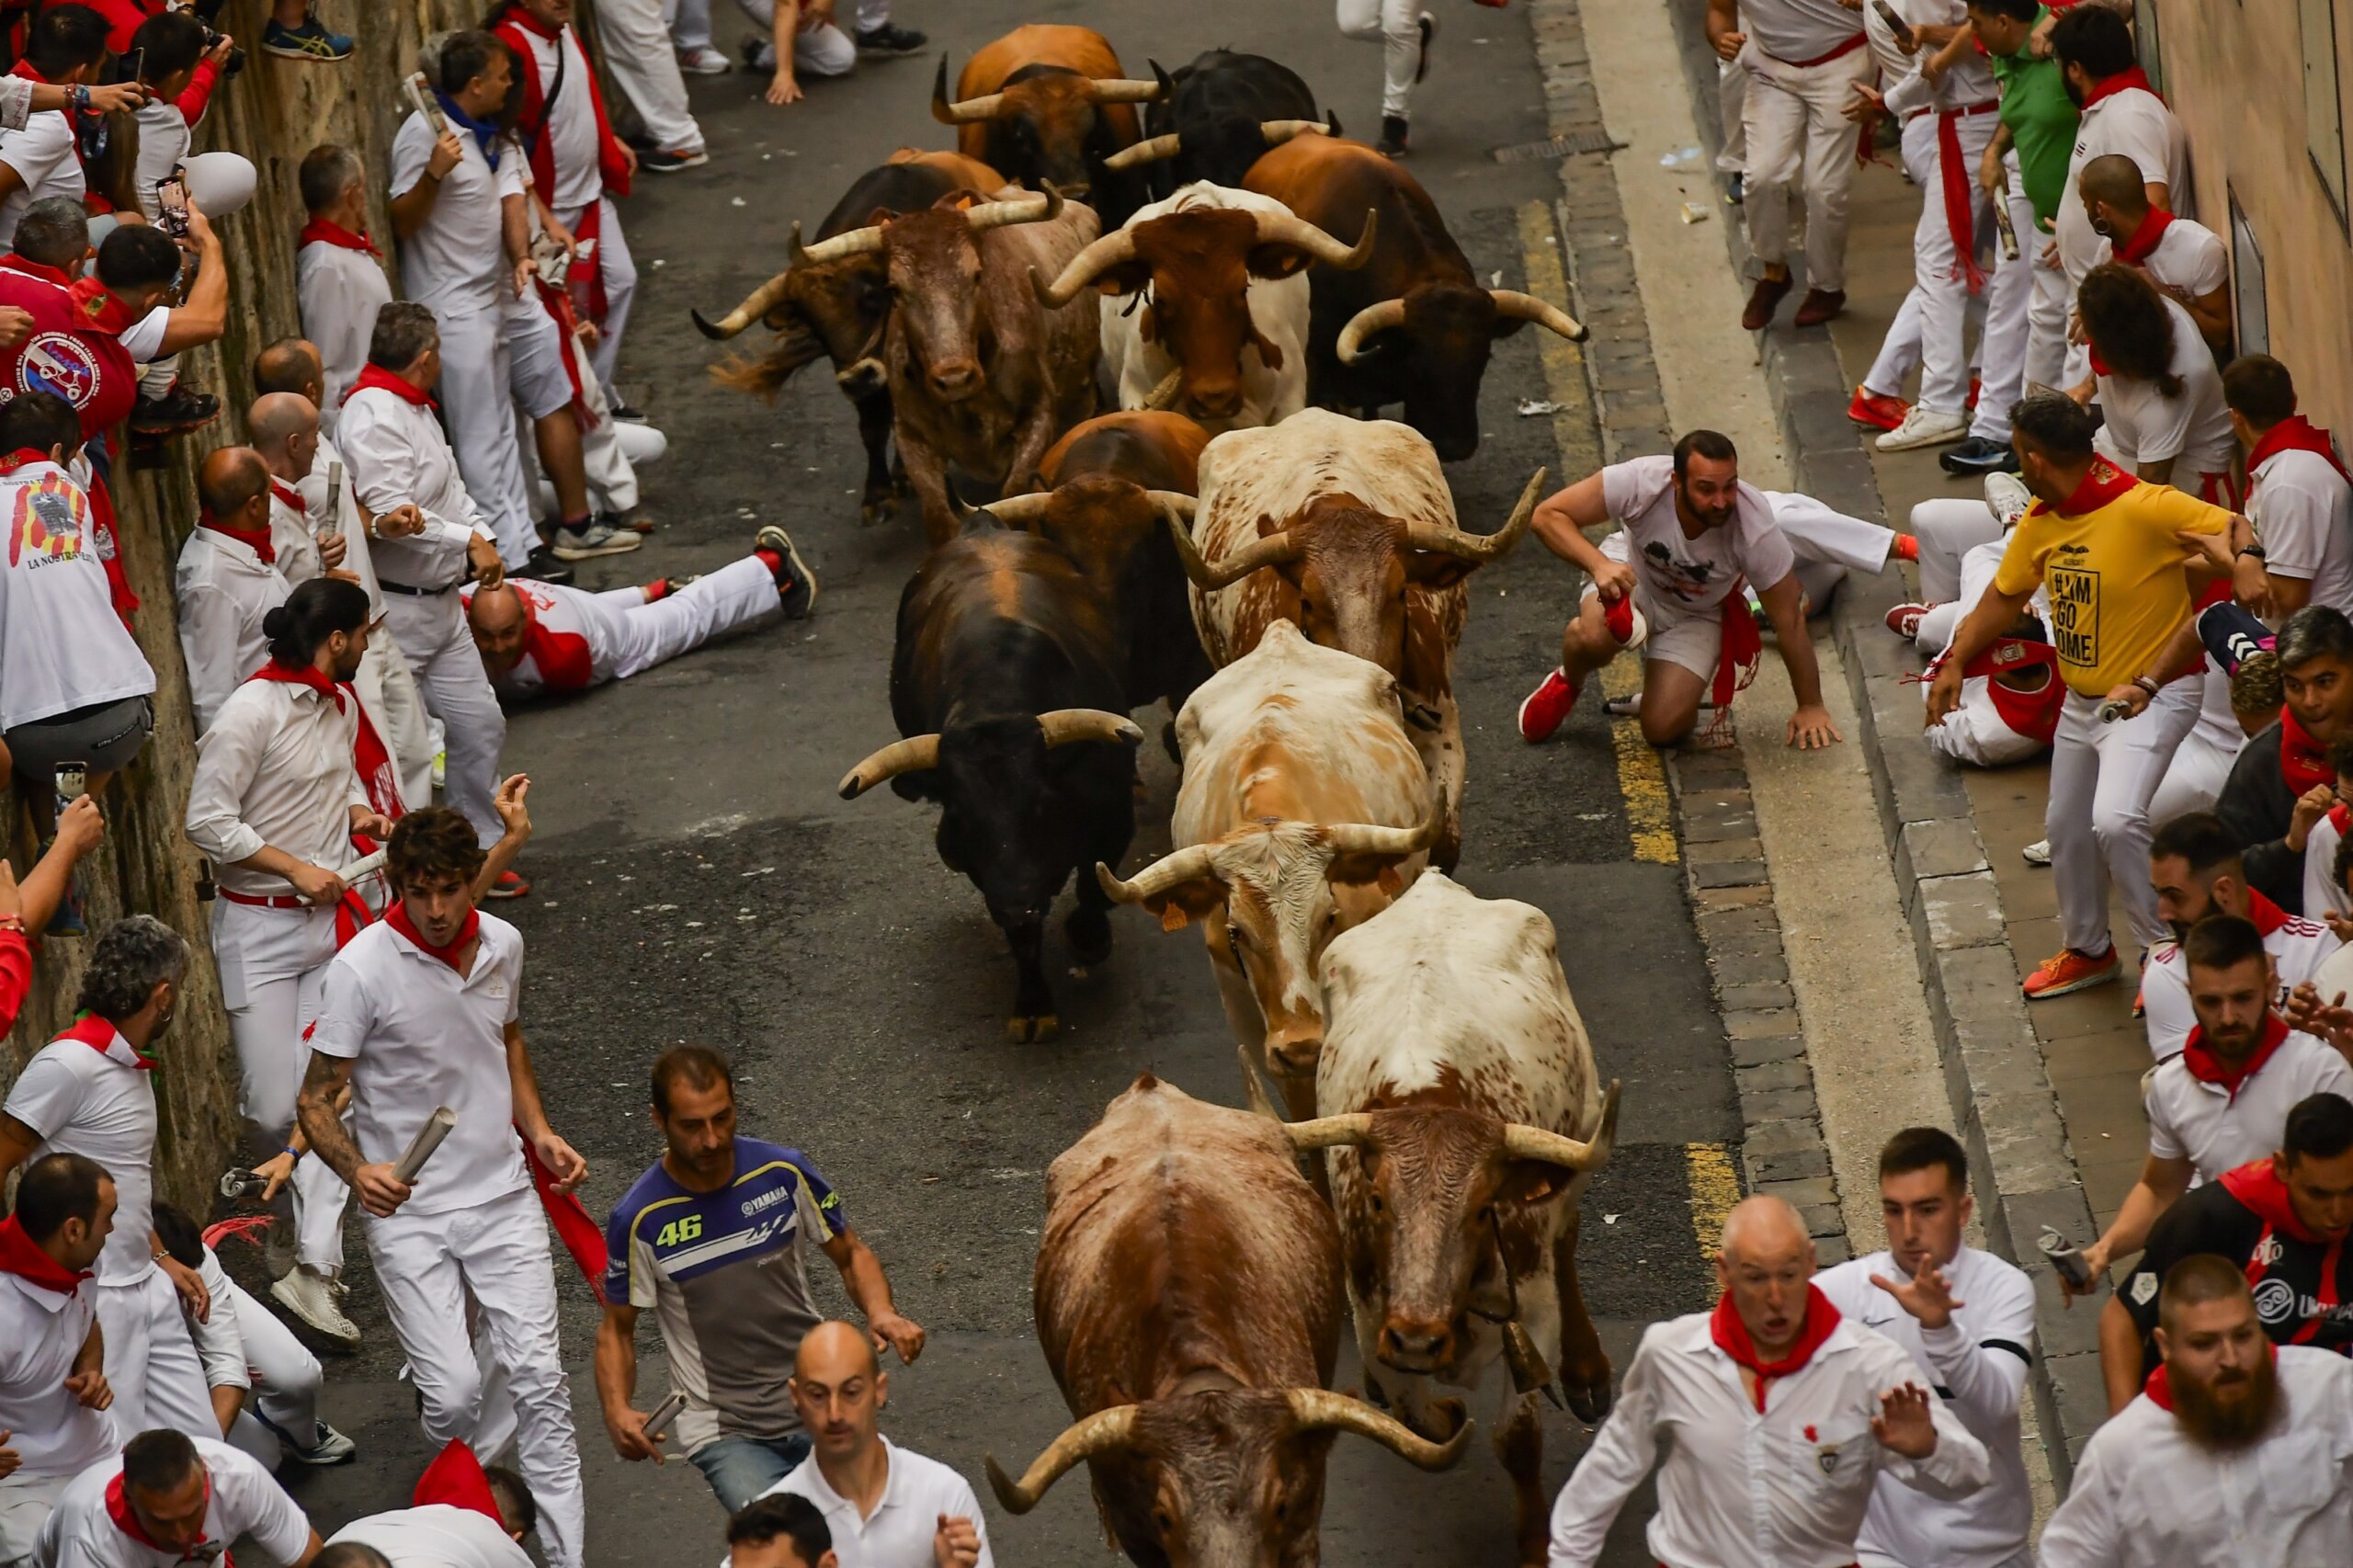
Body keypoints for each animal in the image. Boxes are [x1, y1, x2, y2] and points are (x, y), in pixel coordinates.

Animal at [800, 185, 1101, 543]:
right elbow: (939, 515)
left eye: (977, 275)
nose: (954, 378)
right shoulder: (913, 436)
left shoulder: (1038, 417)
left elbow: (1014, 496)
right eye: (894, 289)